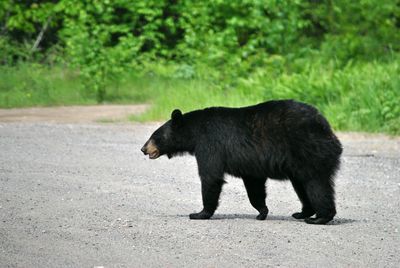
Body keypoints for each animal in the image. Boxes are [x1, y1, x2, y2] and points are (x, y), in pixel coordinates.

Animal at [140, 100, 340, 224]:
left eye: (155, 135)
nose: (143, 149)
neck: (195, 132)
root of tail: (327, 129)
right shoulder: (251, 163)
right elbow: (254, 185)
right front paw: (262, 211)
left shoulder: (210, 143)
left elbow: (211, 176)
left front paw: (199, 213)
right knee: (302, 185)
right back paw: (302, 212)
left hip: (310, 152)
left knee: (316, 185)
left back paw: (320, 218)